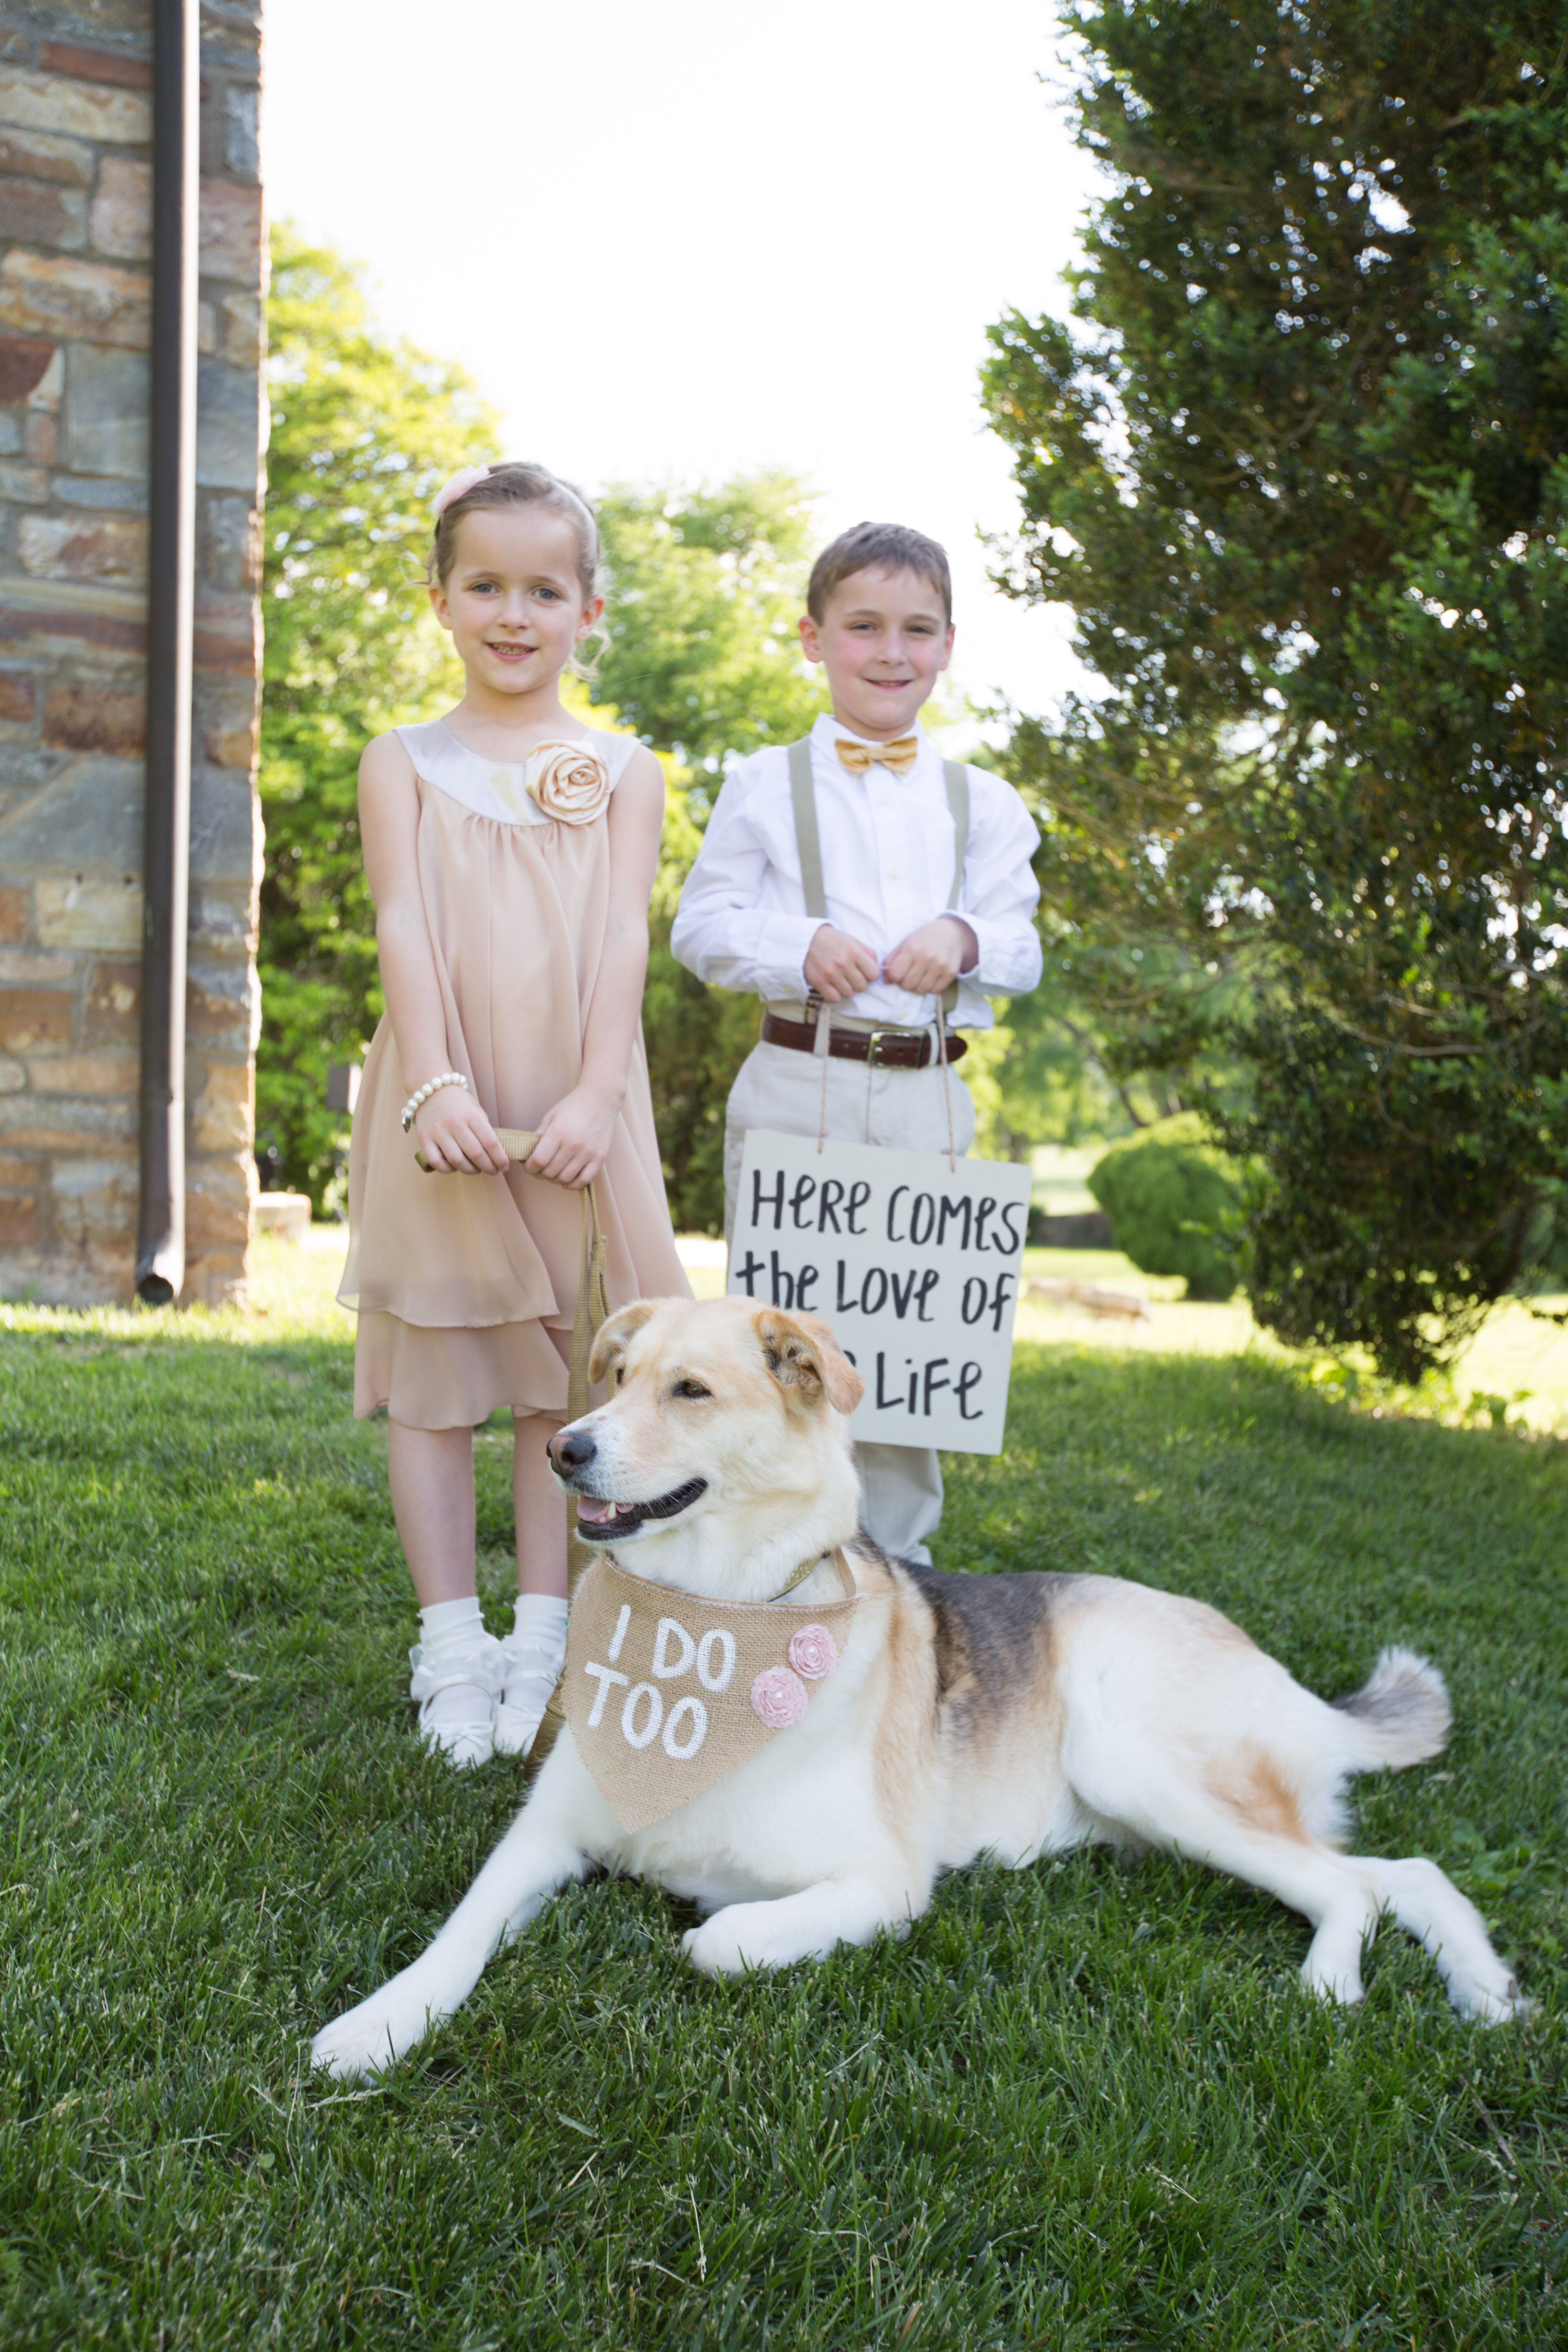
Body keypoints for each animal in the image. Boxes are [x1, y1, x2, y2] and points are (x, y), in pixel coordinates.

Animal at [312, 1298, 1523, 2088]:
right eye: (614, 1377)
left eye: (689, 1390)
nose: (563, 1449)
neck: (713, 1624)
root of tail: (1272, 1666)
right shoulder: (541, 1837)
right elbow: (459, 1931)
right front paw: (380, 2024)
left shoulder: (882, 1886)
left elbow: (715, 1939)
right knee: (1406, 1873)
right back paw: (1487, 1990)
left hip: (1140, 1761)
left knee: (1355, 1886)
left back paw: (1331, 1985)